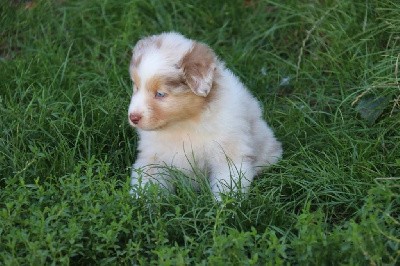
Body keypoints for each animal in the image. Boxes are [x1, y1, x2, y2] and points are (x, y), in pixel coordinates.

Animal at [127, 32, 282, 200]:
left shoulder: (228, 154)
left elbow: (228, 183)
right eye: (136, 87)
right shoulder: (153, 157)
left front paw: (226, 205)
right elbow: (147, 182)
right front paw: (141, 202)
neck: (184, 123)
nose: (133, 117)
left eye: (160, 94)